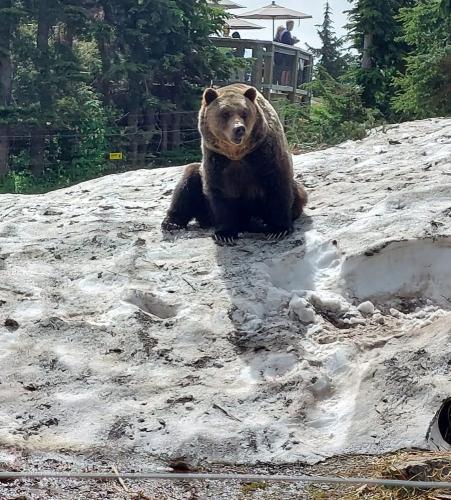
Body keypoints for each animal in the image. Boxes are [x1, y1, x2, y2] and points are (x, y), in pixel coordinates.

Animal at [162, 83, 308, 243]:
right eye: (225, 113)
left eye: (244, 113)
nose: (239, 129)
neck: (237, 154)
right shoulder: (217, 159)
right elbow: (221, 193)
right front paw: (225, 234)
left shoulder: (265, 154)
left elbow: (278, 185)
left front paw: (278, 229)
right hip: (201, 192)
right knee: (187, 182)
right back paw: (172, 223)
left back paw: (260, 222)